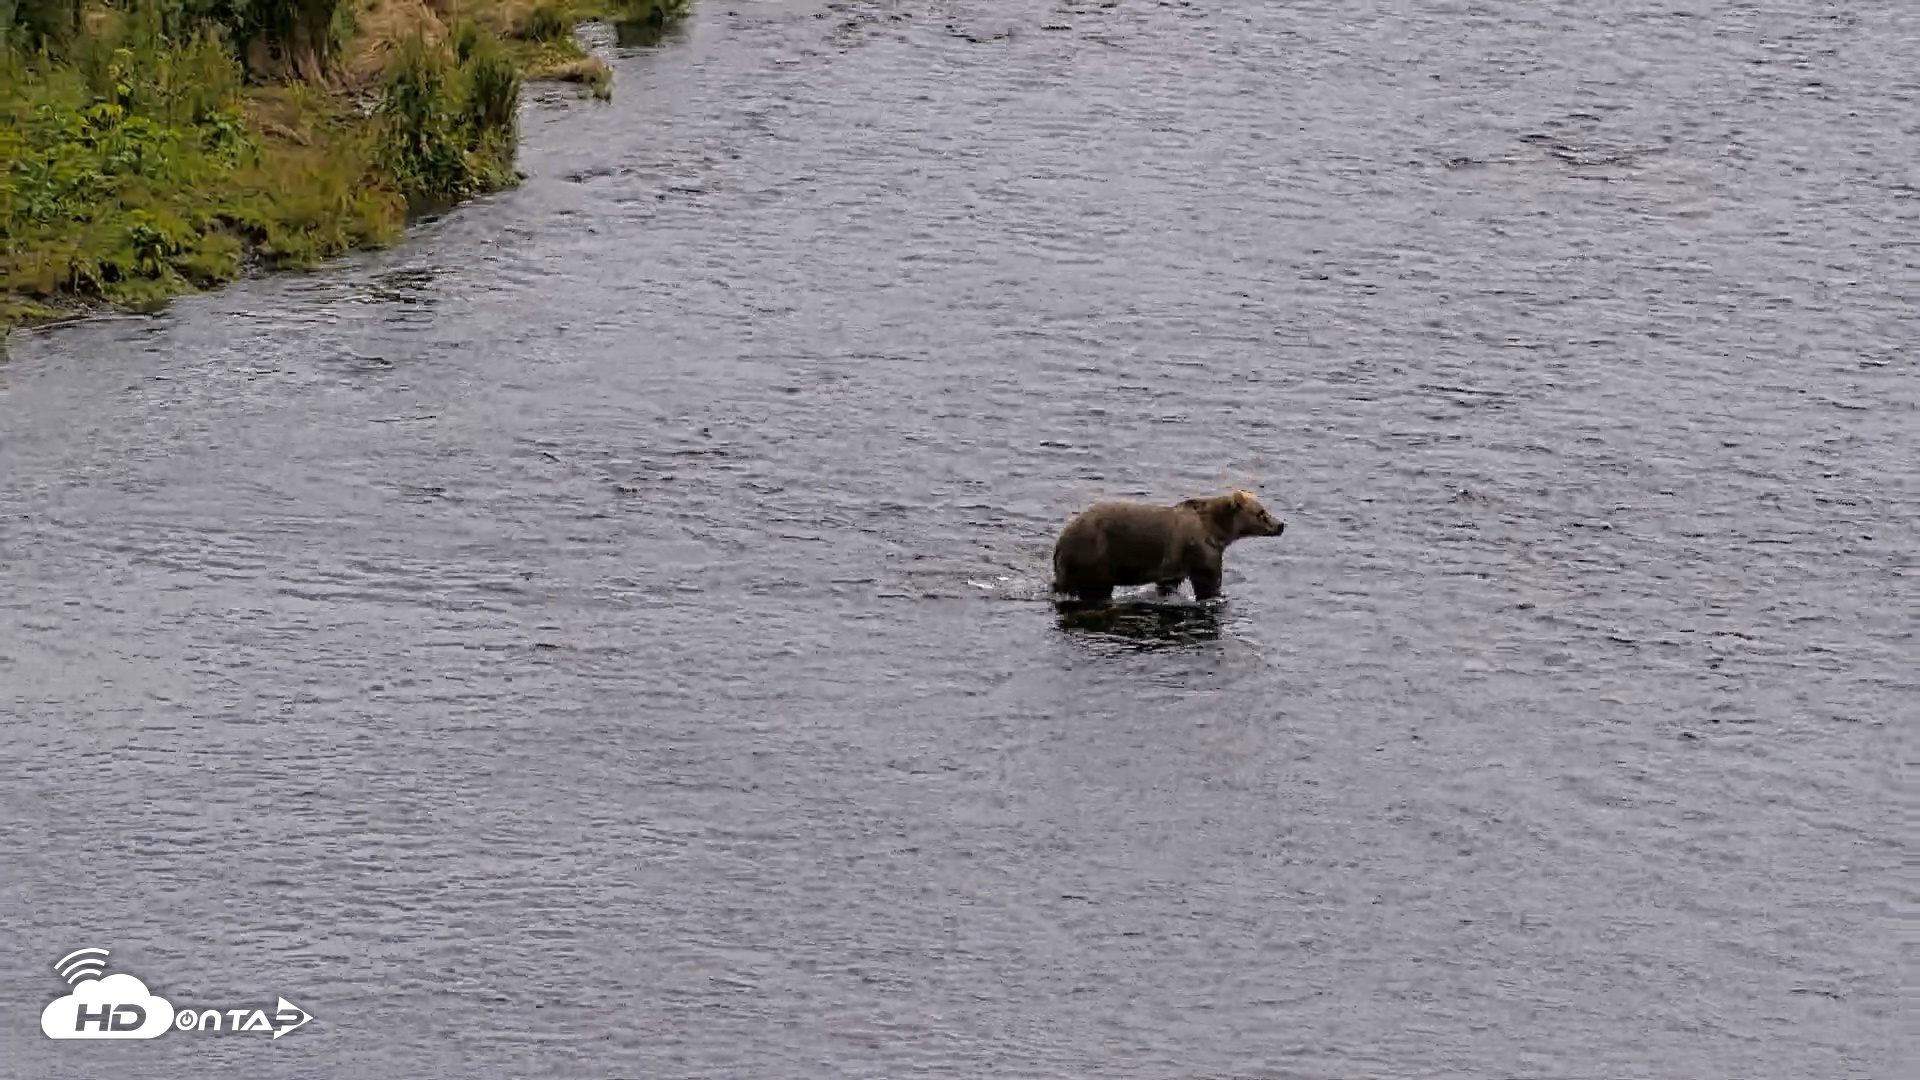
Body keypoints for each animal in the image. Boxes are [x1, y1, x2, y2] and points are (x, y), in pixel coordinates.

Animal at [1050, 489, 1286, 605]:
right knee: (1097, 588)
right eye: (1261, 513)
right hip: (1096, 553)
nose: (1280, 524)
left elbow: (1169, 583)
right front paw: (1216, 596)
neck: (1217, 530)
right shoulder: (1201, 549)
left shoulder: (1174, 562)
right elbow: (1208, 583)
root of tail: (1061, 540)